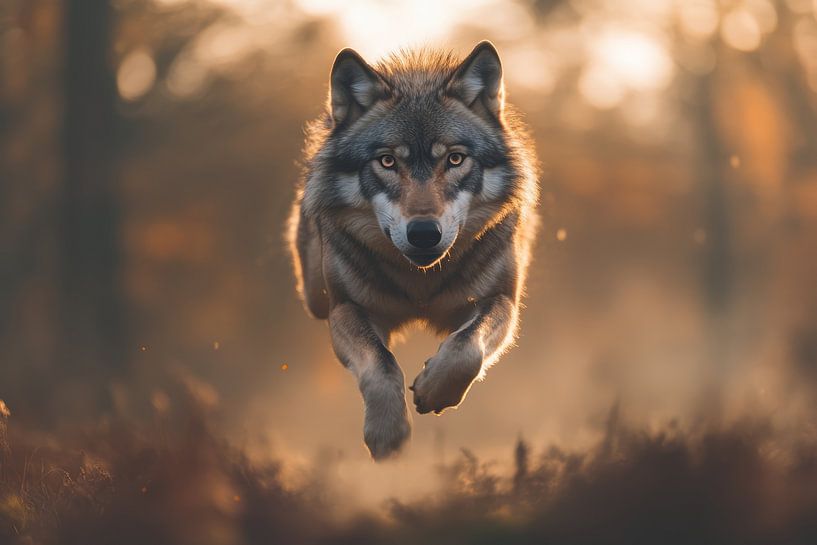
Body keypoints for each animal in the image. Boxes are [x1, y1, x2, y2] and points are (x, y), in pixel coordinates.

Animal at [287, 41, 539, 460]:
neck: (419, 285)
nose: (423, 233)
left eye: (454, 158)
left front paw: (435, 390)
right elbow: (381, 363)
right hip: (315, 295)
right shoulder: (346, 308)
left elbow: (466, 348)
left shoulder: (501, 299)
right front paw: (387, 433)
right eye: (388, 161)